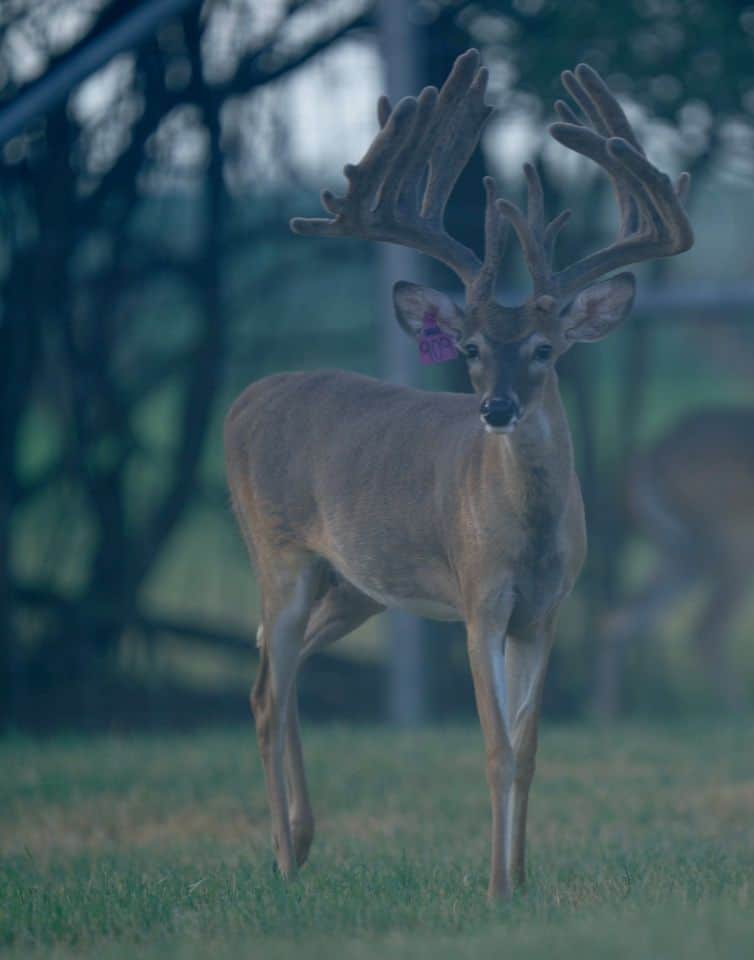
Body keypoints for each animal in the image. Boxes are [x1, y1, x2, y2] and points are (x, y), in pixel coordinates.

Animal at [224, 49, 693, 899]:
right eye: (471, 347)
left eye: (544, 348)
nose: (497, 407)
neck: (527, 532)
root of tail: (243, 400)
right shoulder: (480, 600)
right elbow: (496, 746)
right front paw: (497, 888)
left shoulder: (544, 609)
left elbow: (530, 749)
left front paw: (524, 877)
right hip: (278, 553)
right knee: (269, 690)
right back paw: (280, 857)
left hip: (358, 587)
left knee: (280, 670)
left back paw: (304, 841)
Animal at [593, 406, 754, 718]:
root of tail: (649, 455)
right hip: (732, 544)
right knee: (706, 628)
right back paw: (737, 712)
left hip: (683, 554)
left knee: (618, 618)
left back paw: (605, 714)